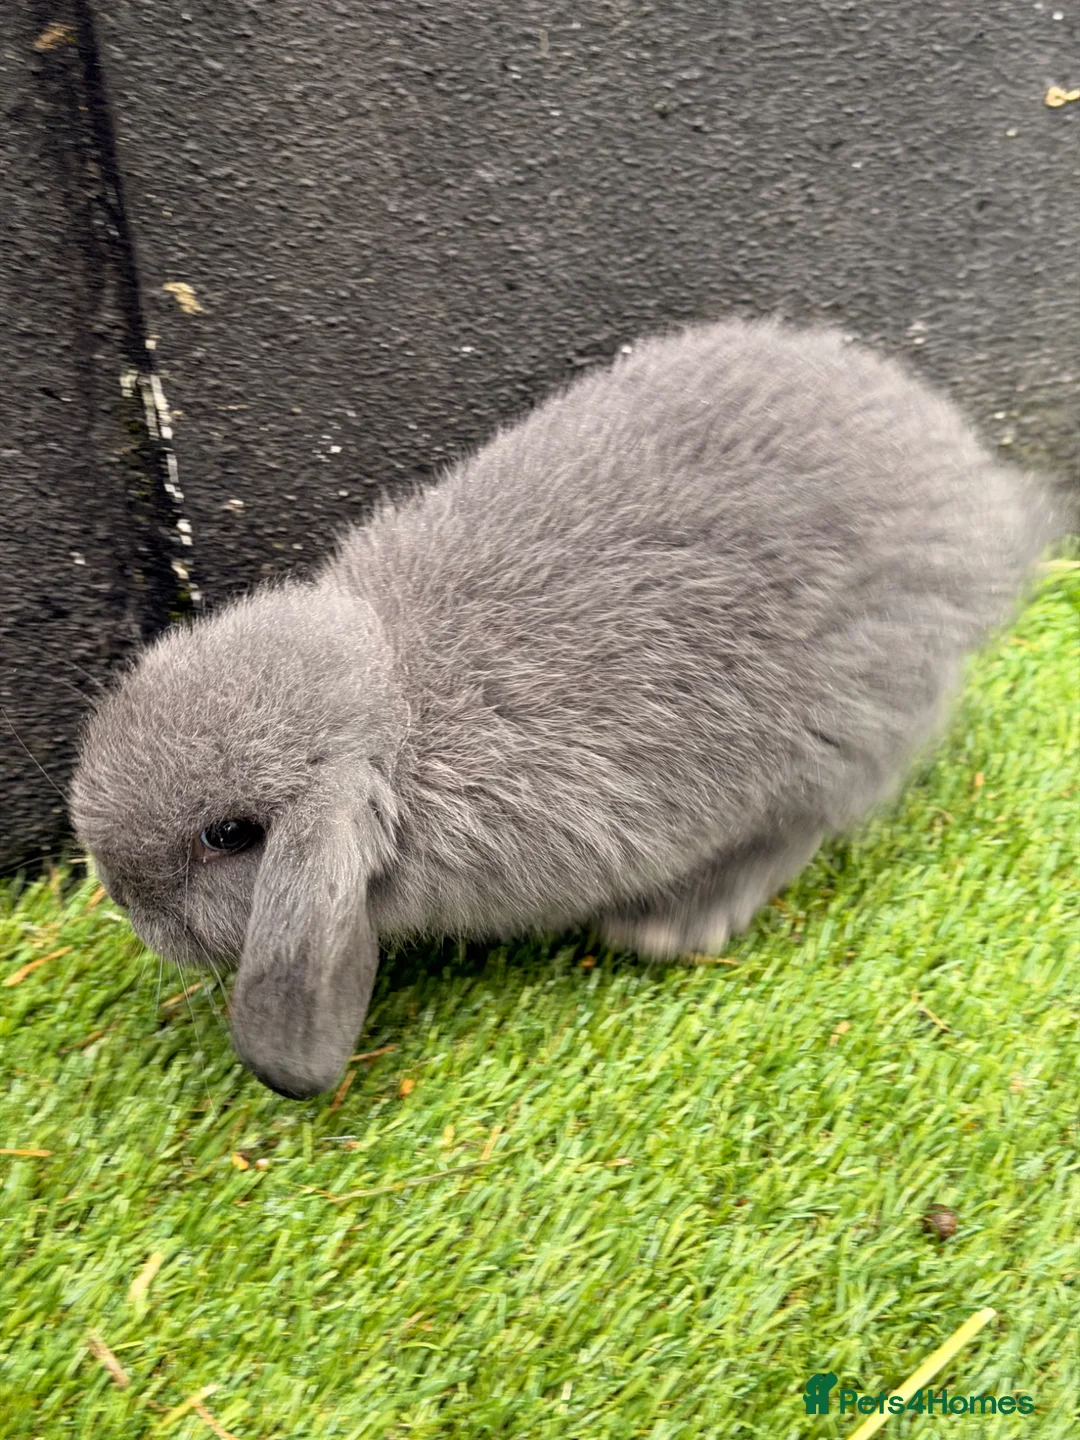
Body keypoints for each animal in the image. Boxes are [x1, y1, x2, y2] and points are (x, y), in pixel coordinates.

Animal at [69, 318, 1064, 1099]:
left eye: (232, 836)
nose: (122, 898)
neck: (403, 714)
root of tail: (980, 509)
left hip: (848, 724)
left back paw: (668, 923)